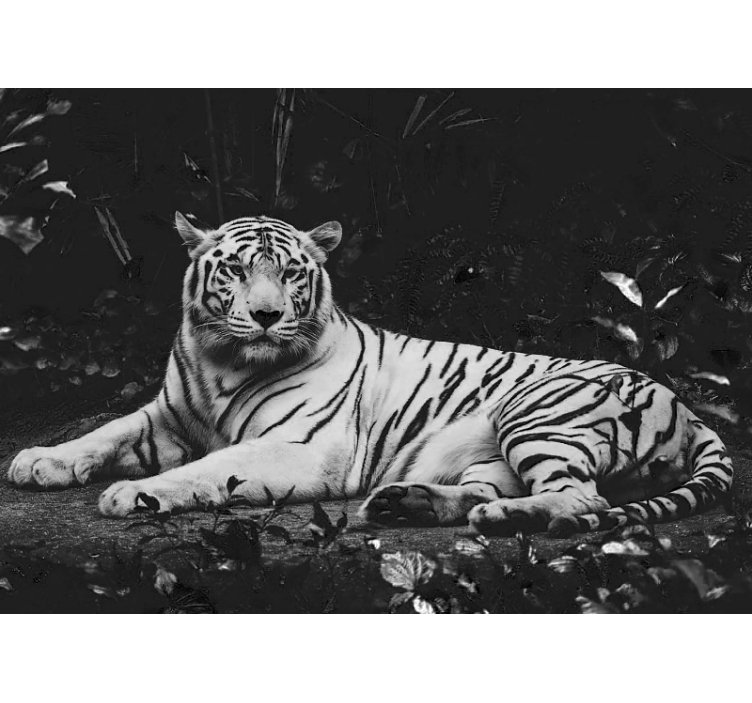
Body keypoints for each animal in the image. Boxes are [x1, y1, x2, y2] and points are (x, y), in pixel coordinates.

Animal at [6, 213, 733, 537]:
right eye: (236, 269)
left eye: (290, 273)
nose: (266, 316)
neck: (223, 361)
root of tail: (687, 409)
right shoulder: (166, 414)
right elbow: (103, 430)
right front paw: (38, 460)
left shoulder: (302, 448)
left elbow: (209, 468)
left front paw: (135, 494)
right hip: (494, 450)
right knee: (494, 488)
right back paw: (407, 502)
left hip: (538, 413)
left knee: (584, 499)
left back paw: (504, 516)